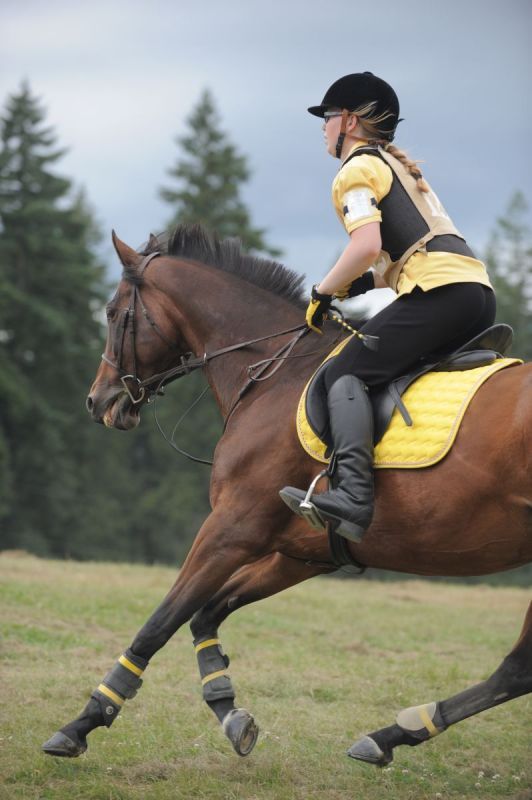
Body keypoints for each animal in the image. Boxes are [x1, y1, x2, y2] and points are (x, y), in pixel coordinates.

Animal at [42, 224, 532, 767]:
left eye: (111, 313)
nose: (98, 400)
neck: (274, 374)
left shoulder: (231, 528)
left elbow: (161, 621)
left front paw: (84, 722)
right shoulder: (301, 551)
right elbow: (207, 613)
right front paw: (229, 711)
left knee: (518, 667)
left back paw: (398, 730)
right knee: (518, 670)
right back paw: (395, 733)